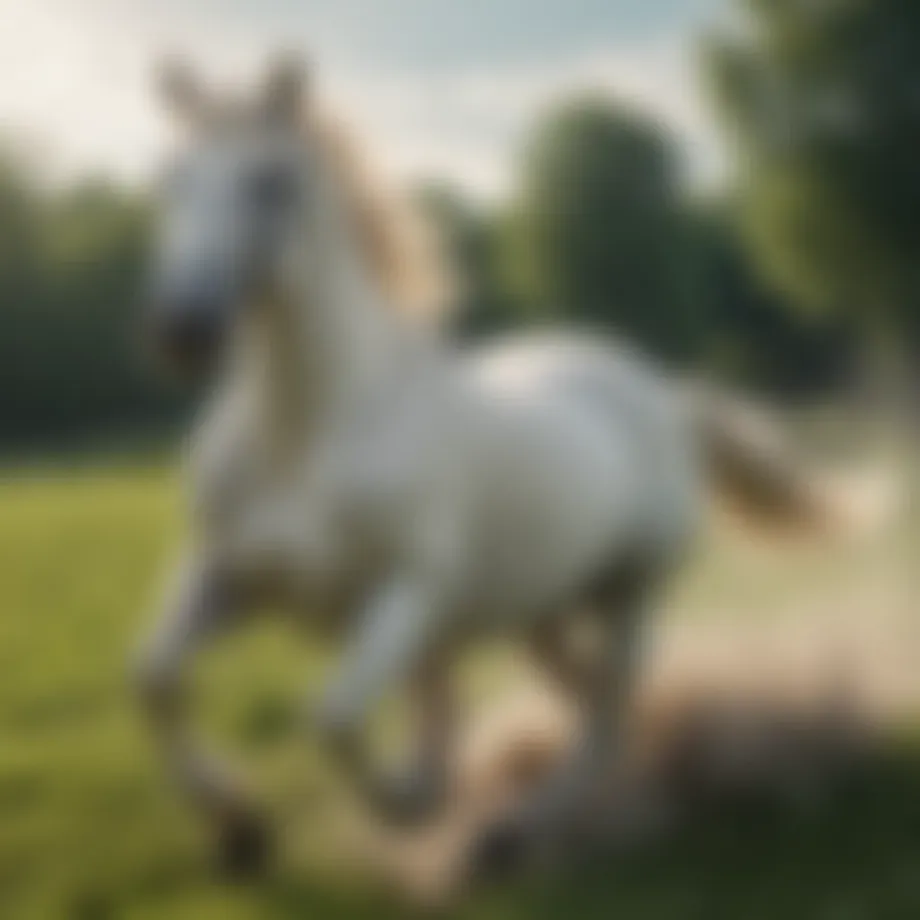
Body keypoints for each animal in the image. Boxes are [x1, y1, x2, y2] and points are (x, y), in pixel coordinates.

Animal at [134, 55, 846, 877]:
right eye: (172, 177)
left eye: (272, 180)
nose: (181, 330)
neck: (306, 434)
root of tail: (664, 392)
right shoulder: (228, 575)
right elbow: (154, 678)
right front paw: (241, 830)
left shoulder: (408, 590)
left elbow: (334, 715)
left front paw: (411, 800)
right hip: (546, 606)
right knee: (588, 699)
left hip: (631, 591)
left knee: (606, 712)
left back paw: (514, 832)